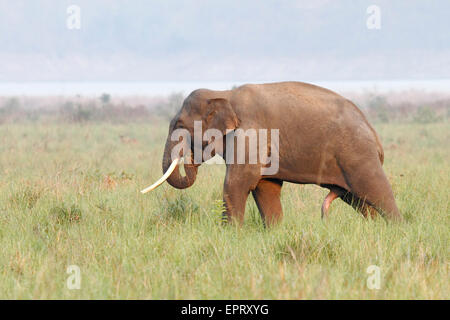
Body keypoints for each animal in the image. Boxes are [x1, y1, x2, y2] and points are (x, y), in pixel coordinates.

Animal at [142, 82, 402, 228]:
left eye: (180, 125)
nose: (190, 157)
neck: (224, 93)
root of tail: (374, 133)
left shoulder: (251, 133)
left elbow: (237, 183)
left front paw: (230, 234)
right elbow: (265, 186)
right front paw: (274, 232)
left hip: (358, 155)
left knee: (376, 191)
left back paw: (397, 229)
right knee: (359, 199)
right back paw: (374, 231)